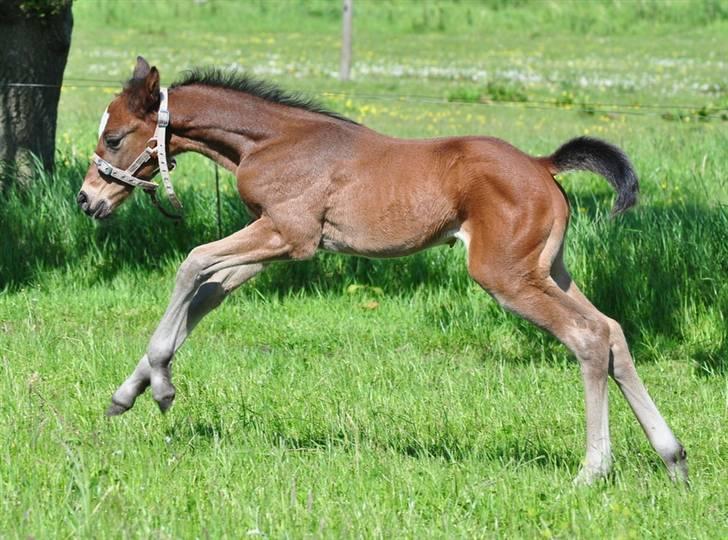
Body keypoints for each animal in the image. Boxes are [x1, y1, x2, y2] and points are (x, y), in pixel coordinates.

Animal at [79, 59, 688, 486]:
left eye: (114, 138)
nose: (88, 200)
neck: (274, 141)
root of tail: (542, 166)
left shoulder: (289, 237)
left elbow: (192, 264)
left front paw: (160, 386)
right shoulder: (269, 244)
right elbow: (206, 293)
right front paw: (127, 392)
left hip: (506, 277)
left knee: (587, 337)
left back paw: (593, 469)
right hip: (549, 270)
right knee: (613, 331)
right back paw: (673, 457)